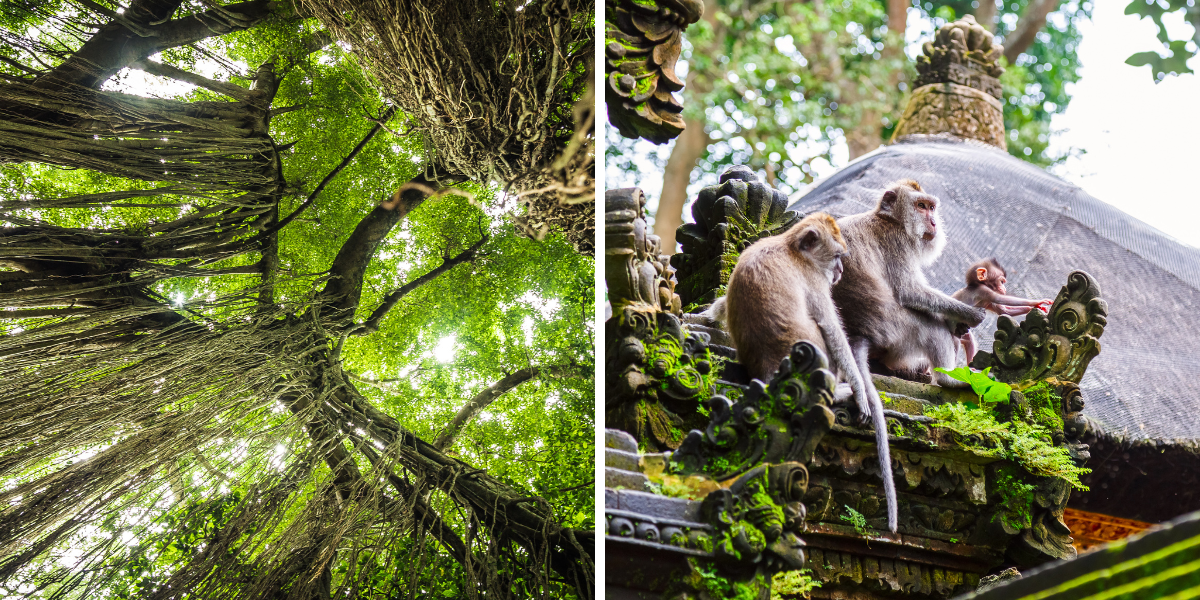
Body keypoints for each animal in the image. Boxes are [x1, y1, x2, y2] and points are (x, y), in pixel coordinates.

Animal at [724, 212, 898, 533]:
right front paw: (859, 391)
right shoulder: (815, 280)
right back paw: (841, 391)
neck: (791, 248)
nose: (840, 270)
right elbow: (831, 328)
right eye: (837, 256)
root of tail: (769, 376)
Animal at [832, 179, 987, 389]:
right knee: (932, 326)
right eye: (921, 206)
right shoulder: (897, 242)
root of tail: (859, 334)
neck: (890, 220)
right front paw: (969, 315)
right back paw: (949, 380)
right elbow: (909, 292)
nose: (934, 222)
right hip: (895, 332)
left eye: (931, 207)